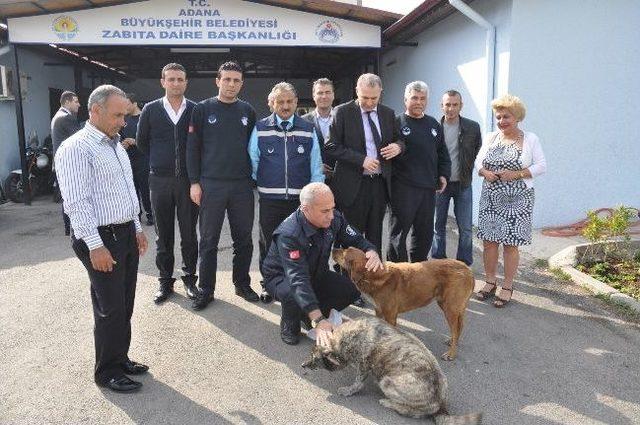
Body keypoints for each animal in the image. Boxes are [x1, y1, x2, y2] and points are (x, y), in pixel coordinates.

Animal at [262, 182, 382, 344]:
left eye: (331, 209)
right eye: (324, 210)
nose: (330, 216)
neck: (310, 224)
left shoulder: (339, 219)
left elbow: (355, 238)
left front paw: (373, 257)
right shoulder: (289, 241)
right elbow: (298, 277)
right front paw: (322, 325)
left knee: (348, 289)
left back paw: (309, 320)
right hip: (275, 286)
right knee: (290, 294)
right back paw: (291, 330)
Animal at [302, 316, 482, 422]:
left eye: (314, 359)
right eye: (311, 353)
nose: (302, 365)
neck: (346, 336)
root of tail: (440, 405)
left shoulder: (363, 365)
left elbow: (358, 383)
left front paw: (348, 390)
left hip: (386, 382)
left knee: (409, 411)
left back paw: (387, 402)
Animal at [336, 247, 476, 360]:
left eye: (344, 253)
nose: (334, 249)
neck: (374, 275)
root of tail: (468, 270)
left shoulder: (390, 316)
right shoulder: (378, 310)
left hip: (450, 308)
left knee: (455, 329)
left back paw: (451, 354)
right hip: (450, 305)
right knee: (460, 326)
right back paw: (453, 341)